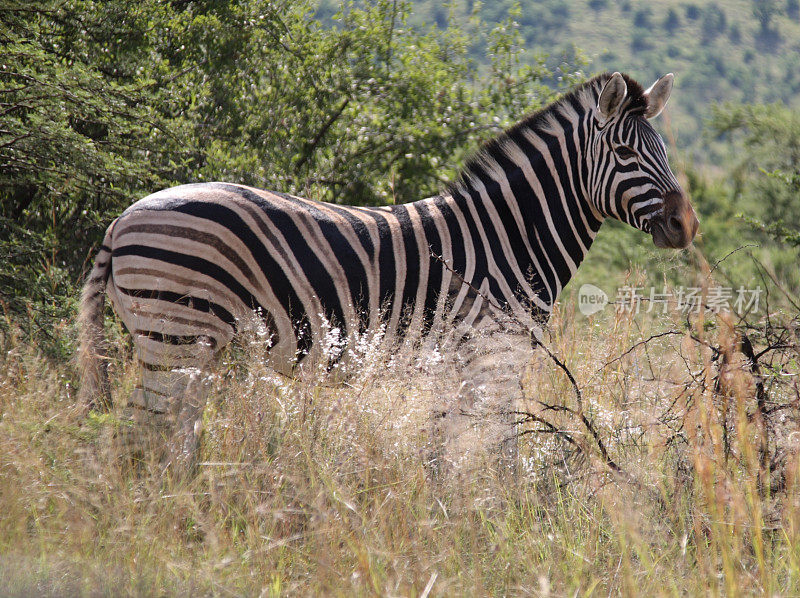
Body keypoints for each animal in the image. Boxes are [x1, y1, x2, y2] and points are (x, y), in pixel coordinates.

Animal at [76, 71, 700, 474]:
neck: (507, 236)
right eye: (625, 154)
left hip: (189, 346)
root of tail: (121, 220)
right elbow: (498, 452)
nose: (686, 225)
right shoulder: (492, 354)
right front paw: (496, 527)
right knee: (140, 437)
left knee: (168, 437)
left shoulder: (457, 365)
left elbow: (446, 452)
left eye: (666, 150)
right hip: (174, 334)